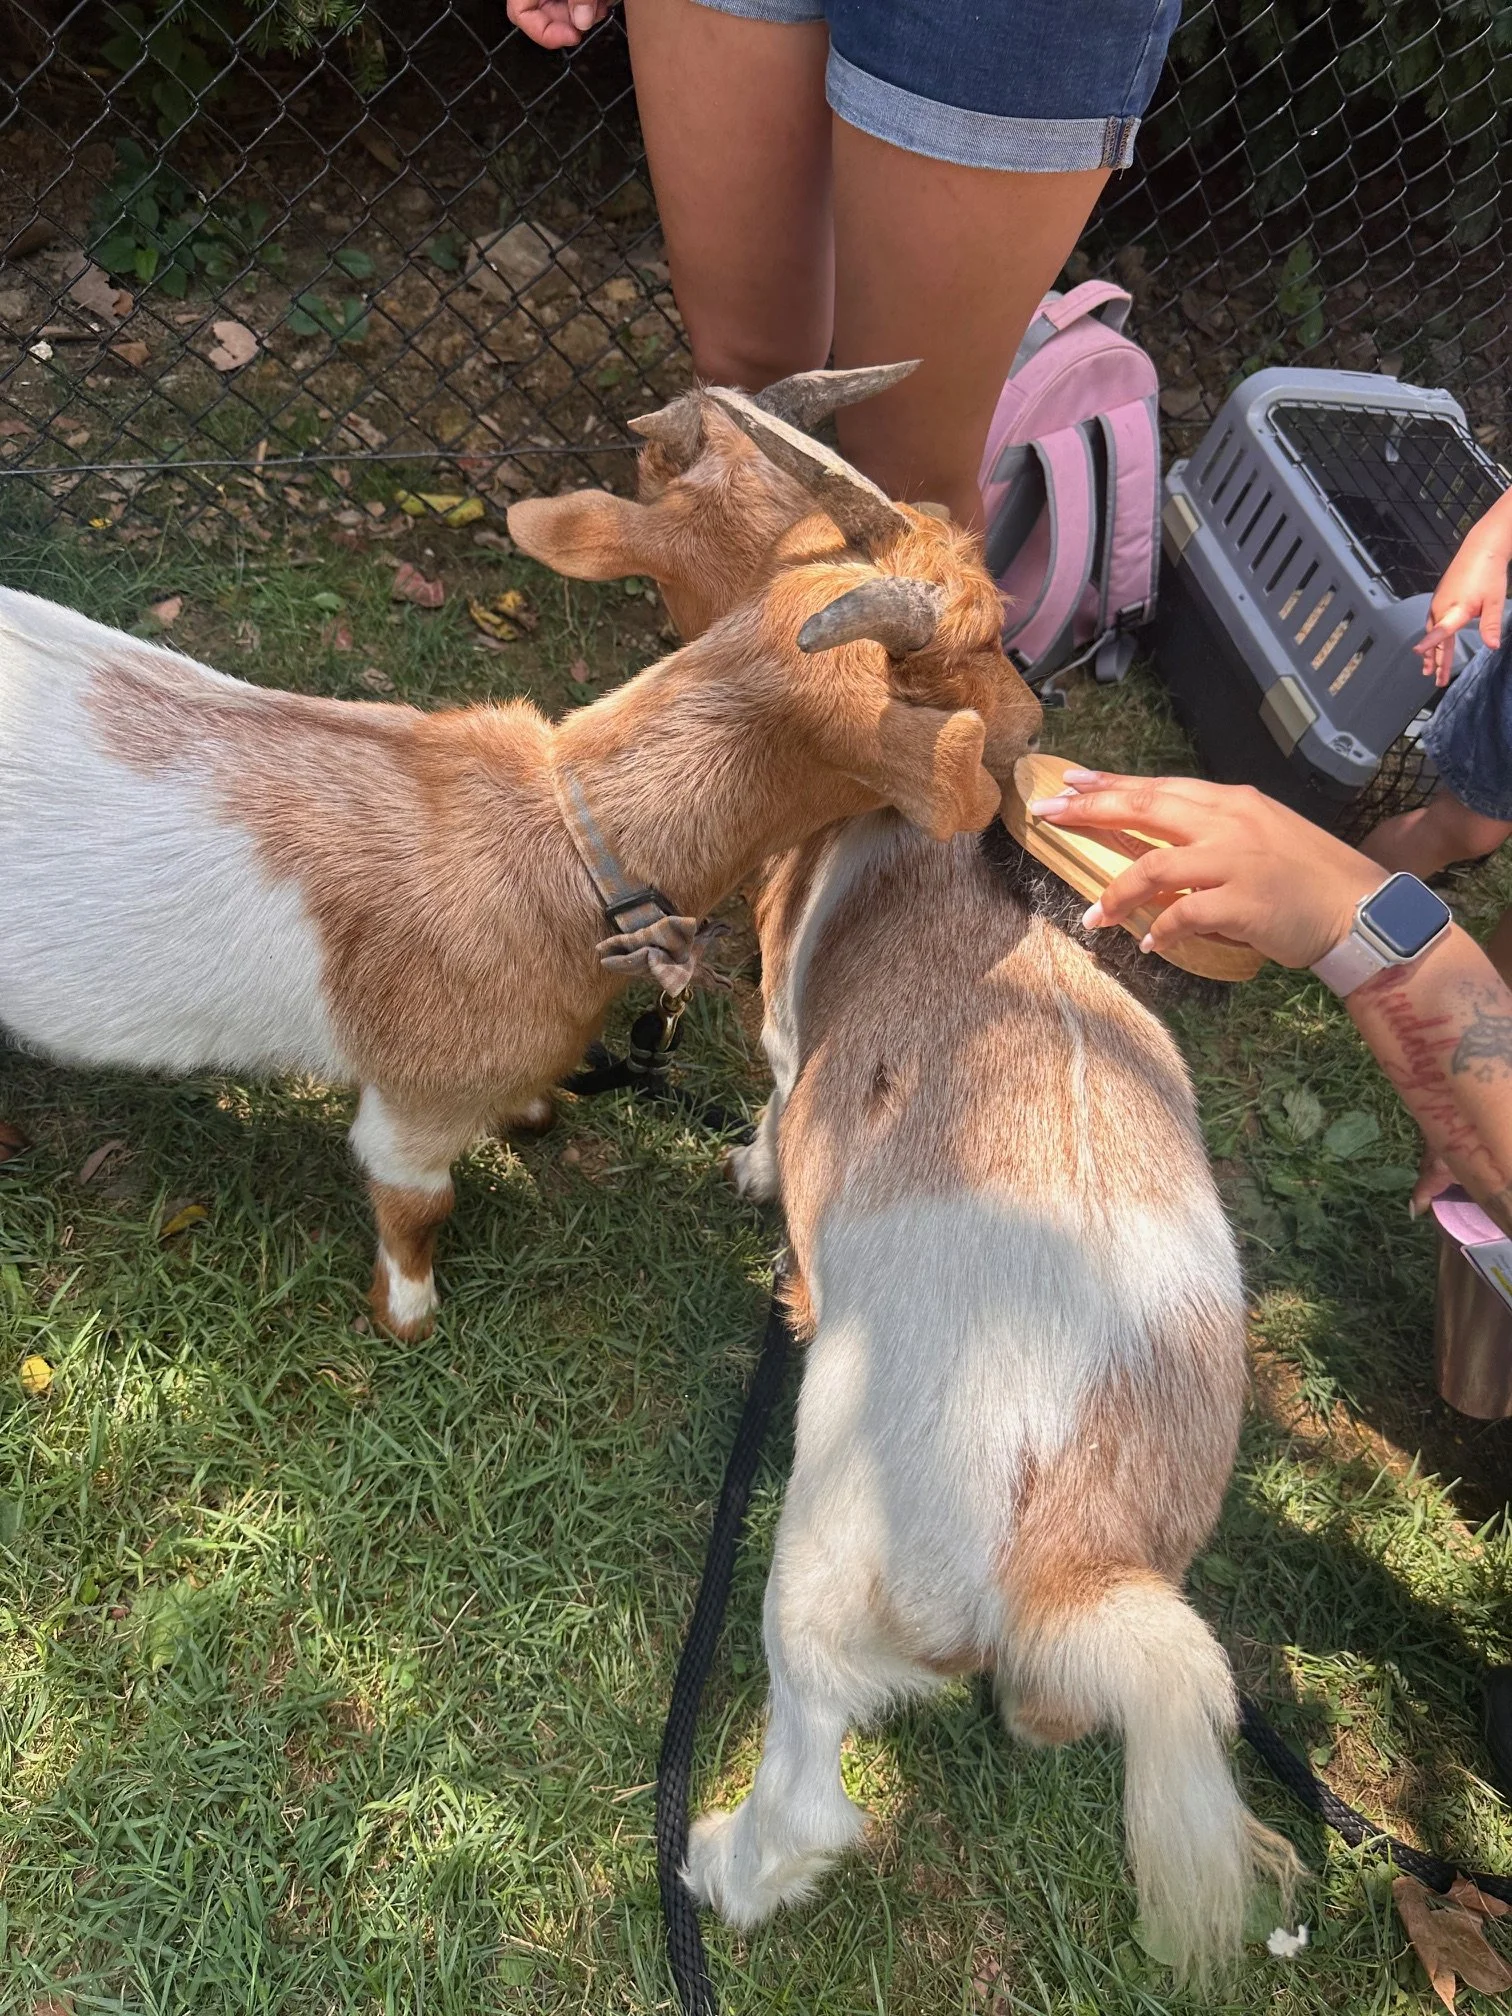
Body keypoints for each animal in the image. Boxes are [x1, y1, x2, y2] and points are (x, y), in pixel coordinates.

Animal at [0, 367, 1019, 1340]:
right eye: (973, 652)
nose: (1030, 722)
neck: (566, 840)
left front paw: (531, 1114)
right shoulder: (414, 1104)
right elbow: (418, 1201)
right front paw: (407, 1317)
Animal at [525, 388, 1297, 1975]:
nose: (657, 431)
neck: (938, 858)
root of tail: (1078, 1545)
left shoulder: (780, 1035)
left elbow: (772, 1102)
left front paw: (755, 1175)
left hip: (820, 1562)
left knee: (811, 1776)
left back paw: (722, 1864)